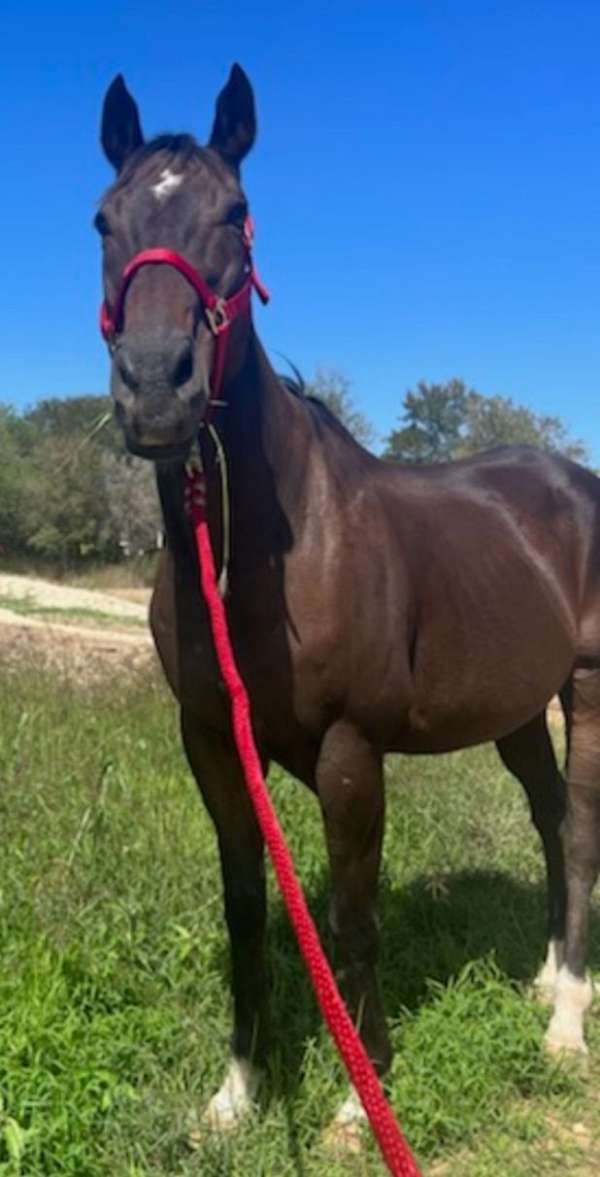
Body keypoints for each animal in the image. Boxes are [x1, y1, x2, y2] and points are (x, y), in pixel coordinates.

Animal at [95, 62, 600, 1139]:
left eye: (236, 216)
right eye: (104, 219)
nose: (156, 389)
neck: (265, 554)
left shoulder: (349, 750)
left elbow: (351, 919)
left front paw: (363, 1098)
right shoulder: (212, 739)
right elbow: (248, 907)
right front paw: (239, 1089)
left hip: (587, 686)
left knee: (578, 831)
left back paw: (568, 1020)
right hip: (515, 710)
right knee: (545, 817)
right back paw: (544, 978)